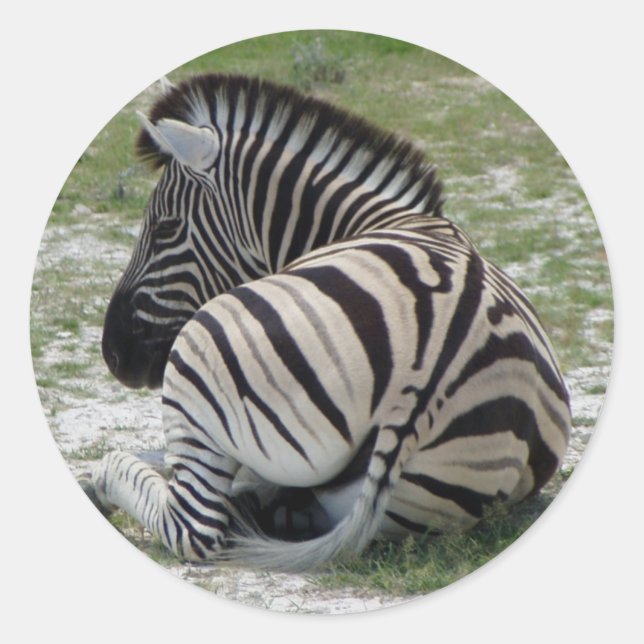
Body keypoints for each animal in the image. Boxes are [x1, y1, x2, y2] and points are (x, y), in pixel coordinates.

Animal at [81, 74, 571, 572]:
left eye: (166, 228)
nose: (113, 353)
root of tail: (424, 383)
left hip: (197, 352)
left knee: (193, 524)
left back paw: (100, 478)